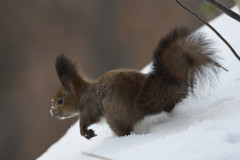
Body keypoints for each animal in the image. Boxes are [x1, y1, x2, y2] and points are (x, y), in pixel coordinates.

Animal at [50, 27, 221, 139]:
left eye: (60, 101)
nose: (52, 111)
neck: (82, 94)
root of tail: (139, 103)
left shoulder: (89, 105)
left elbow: (86, 120)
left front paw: (85, 132)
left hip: (113, 114)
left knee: (125, 131)